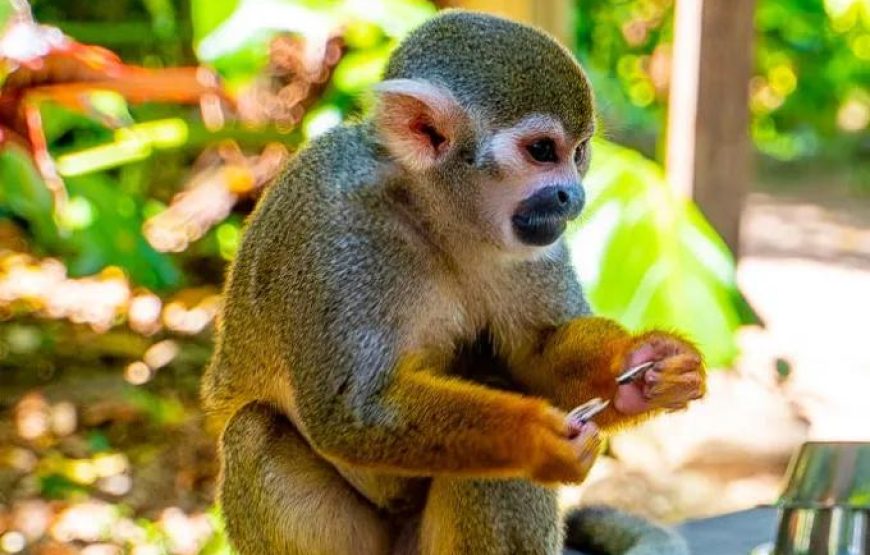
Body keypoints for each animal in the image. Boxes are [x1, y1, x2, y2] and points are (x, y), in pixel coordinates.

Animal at [201, 10, 705, 555]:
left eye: (580, 152)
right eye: (542, 151)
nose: (574, 196)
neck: (431, 215)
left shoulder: (533, 242)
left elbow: (536, 358)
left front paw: (641, 367)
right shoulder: (334, 231)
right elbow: (350, 410)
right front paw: (533, 439)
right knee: (254, 432)